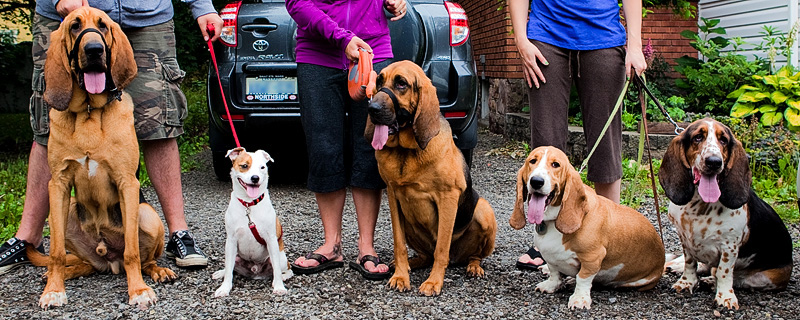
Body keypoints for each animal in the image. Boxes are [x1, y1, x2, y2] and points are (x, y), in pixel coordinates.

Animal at [366, 61, 496, 296]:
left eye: (401, 83)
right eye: (379, 81)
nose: (372, 109)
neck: (407, 151)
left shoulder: (448, 198)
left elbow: (441, 248)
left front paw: (434, 282)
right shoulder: (392, 195)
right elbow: (398, 244)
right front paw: (400, 276)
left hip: (483, 210)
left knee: (473, 255)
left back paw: (473, 267)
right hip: (408, 222)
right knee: (425, 255)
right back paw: (410, 263)